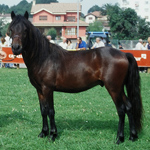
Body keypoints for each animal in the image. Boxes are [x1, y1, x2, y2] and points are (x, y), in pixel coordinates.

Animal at [9, 11, 143, 144]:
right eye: (11, 29)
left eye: (25, 30)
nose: (16, 48)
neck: (43, 57)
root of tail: (124, 54)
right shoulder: (39, 90)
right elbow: (43, 110)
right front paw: (43, 133)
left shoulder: (48, 89)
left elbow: (51, 111)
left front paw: (52, 135)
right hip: (119, 89)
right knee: (129, 107)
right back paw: (132, 136)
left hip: (113, 88)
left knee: (121, 109)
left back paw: (119, 138)